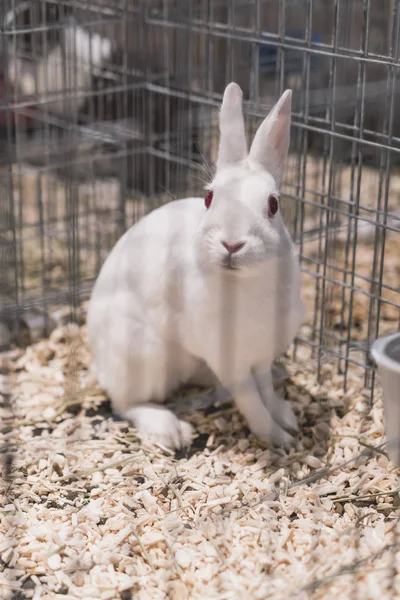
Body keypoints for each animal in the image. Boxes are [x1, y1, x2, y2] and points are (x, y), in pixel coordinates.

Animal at [87, 83, 304, 450]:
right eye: (209, 198)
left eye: (273, 205)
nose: (231, 244)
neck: (246, 282)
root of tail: (99, 364)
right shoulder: (232, 364)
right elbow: (251, 402)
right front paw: (278, 438)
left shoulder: (261, 356)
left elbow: (265, 390)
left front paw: (286, 418)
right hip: (143, 358)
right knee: (125, 402)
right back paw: (168, 429)